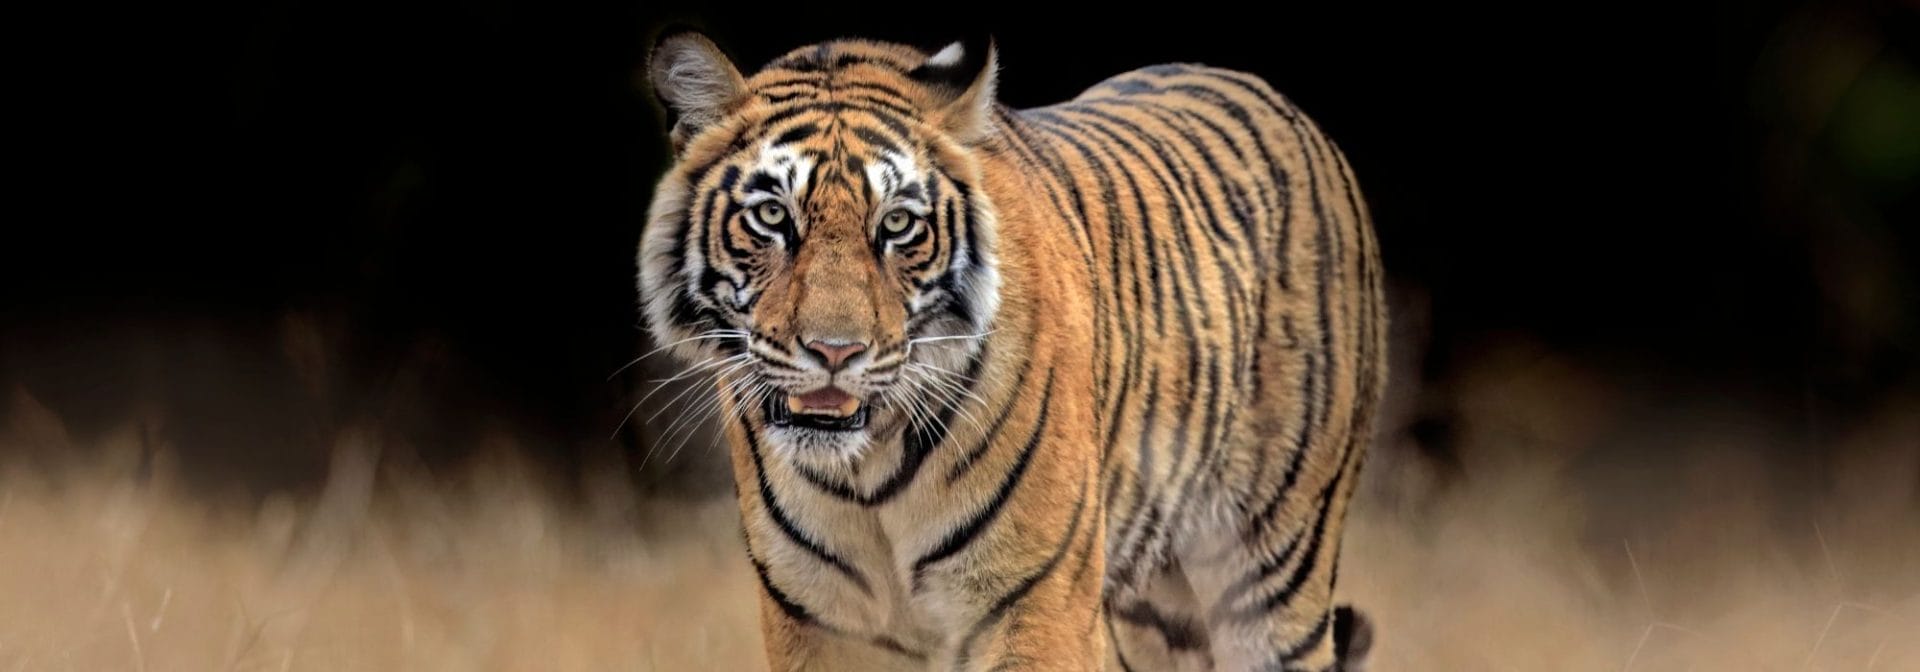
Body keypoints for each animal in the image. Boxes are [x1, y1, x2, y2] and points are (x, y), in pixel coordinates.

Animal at [638, 31, 1386, 672]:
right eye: (772, 217)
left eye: (898, 225)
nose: (834, 351)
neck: (867, 476)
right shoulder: (819, 620)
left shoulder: (1036, 602)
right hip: (1163, 612)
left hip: (1273, 573)